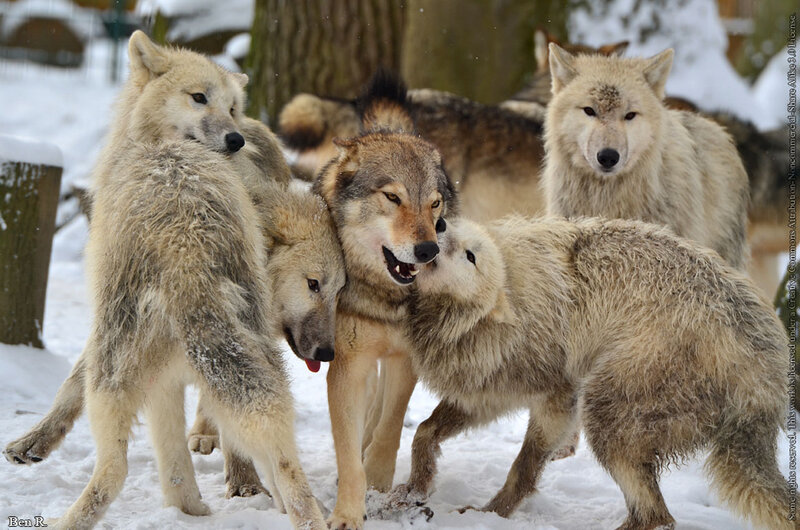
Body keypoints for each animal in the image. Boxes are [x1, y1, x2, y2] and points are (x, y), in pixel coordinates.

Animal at [2, 31, 329, 530]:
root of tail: (186, 262)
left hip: (125, 374)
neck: (157, 147)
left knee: (116, 469)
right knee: (274, 457)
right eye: (199, 98)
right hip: (236, 362)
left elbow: (71, 383)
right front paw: (31, 442)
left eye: (229, 107)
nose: (236, 139)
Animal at [308, 71, 457, 530]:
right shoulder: (348, 364)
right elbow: (346, 451)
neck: (385, 298)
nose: (428, 250)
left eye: (434, 204)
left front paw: (377, 478)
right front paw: (347, 512)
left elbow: (390, 428)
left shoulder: (405, 358)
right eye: (393, 198)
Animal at [387, 215, 791, 530]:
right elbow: (424, 433)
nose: (439, 225)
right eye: (448, 224)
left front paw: (490, 514)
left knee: (656, 516)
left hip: (604, 410)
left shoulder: (557, 399)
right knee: (656, 514)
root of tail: (769, 369)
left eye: (471, 256)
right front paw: (416, 488)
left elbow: (524, 467)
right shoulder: (487, 391)